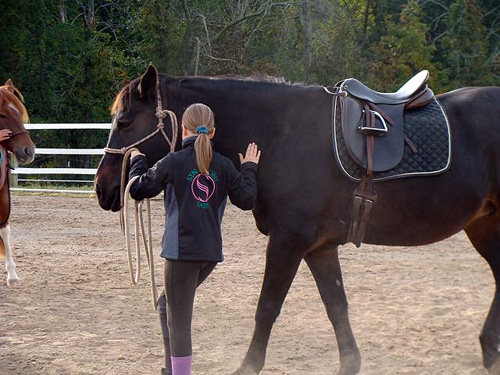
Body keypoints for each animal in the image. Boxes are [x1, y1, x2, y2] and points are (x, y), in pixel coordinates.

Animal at [94, 66, 500, 374]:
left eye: (125, 121)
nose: (102, 187)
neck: (279, 133)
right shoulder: (319, 248)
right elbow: (336, 308)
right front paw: (349, 363)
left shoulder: (288, 242)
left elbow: (267, 309)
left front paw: (247, 367)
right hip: (485, 226)